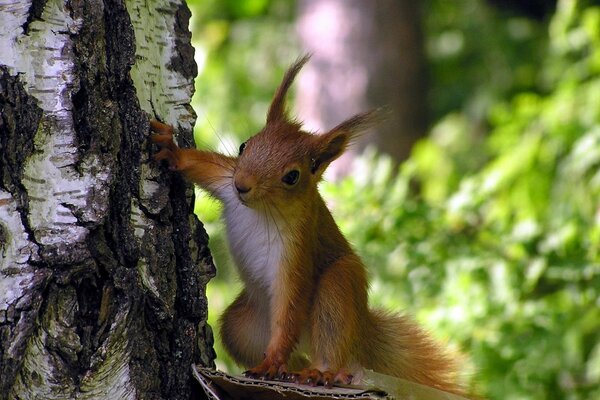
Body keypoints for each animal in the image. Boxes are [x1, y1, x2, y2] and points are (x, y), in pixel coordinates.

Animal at [150, 55, 464, 394]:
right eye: (245, 146)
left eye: (292, 176)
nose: (242, 185)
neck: (260, 209)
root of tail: (361, 329)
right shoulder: (225, 179)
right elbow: (203, 166)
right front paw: (171, 151)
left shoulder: (298, 247)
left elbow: (291, 303)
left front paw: (272, 361)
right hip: (242, 326)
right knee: (287, 353)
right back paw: (290, 370)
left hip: (338, 289)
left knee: (331, 344)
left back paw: (322, 373)